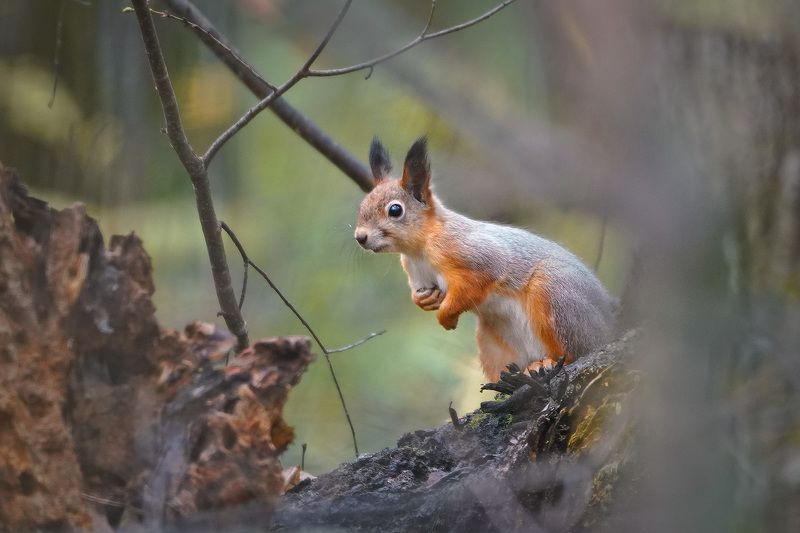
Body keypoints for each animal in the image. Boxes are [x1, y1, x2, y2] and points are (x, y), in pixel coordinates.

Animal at [354, 137, 616, 381]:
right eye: (362, 206)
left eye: (395, 210)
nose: (360, 237)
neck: (419, 250)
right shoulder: (416, 272)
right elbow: (421, 293)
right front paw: (424, 300)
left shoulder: (475, 257)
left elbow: (474, 285)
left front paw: (446, 316)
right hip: (493, 346)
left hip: (557, 297)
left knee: (575, 351)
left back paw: (548, 362)